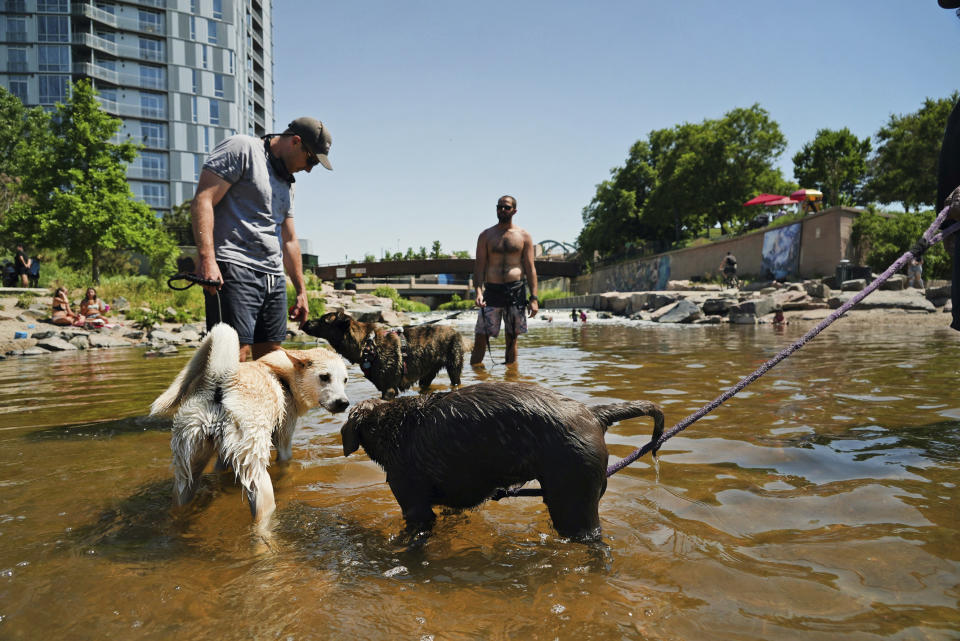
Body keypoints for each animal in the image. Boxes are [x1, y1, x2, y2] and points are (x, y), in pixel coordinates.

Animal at [148, 324, 346, 528]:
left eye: (345, 380)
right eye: (325, 377)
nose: (344, 403)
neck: (283, 379)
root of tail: (221, 381)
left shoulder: (223, 456)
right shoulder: (284, 439)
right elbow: (285, 463)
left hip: (188, 467)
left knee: (181, 497)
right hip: (256, 475)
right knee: (260, 516)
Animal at [302, 308, 464, 398]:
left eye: (324, 320)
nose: (304, 323)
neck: (367, 344)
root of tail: (455, 331)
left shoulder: (389, 389)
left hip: (454, 368)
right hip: (426, 375)